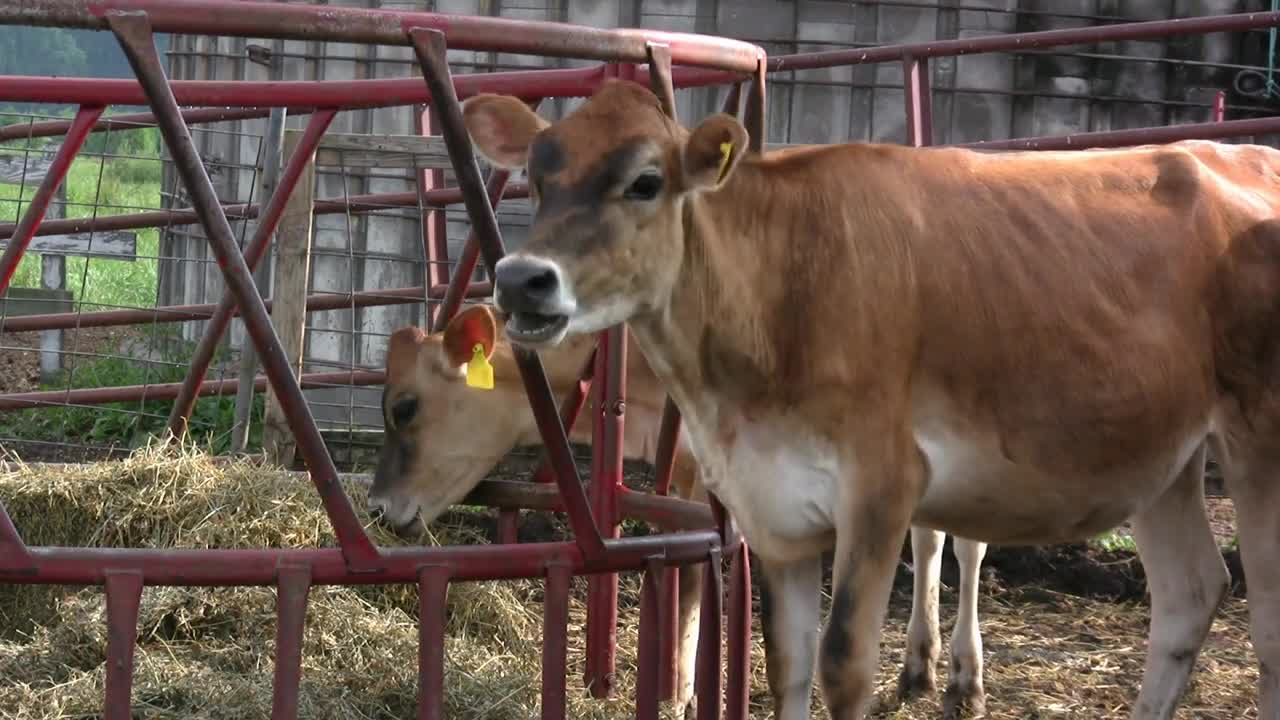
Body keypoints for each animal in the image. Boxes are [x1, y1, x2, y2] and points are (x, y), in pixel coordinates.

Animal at [366, 301, 993, 712]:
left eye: (404, 407)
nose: (375, 507)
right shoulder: (695, 460)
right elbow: (688, 573)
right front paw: (683, 688)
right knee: (930, 535)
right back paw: (919, 667)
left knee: (966, 545)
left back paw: (965, 677)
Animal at [460, 79, 1280, 717]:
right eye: (538, 178)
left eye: (645, 181)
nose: (522, 278)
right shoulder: (771, 505)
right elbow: (785, 662)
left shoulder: (883, 484)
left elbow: (843, 663)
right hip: (1163, 456)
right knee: (1190, 592)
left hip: (1257, 438)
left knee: (1265, 623)